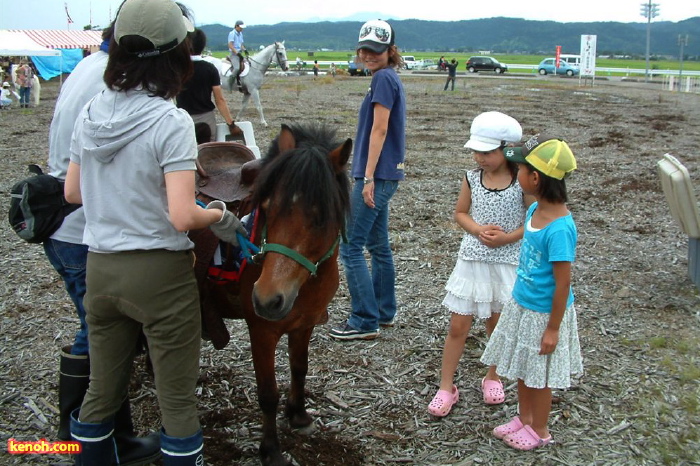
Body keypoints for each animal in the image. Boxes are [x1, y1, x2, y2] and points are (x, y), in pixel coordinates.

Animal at [191, 122, 352, 464]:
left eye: (321, 217)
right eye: (266, 208)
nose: (268, 298)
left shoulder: (304, 325)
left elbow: (299, 369)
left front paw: (298, 414)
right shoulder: (262, 332)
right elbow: (267, 393)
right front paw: (270, 448)